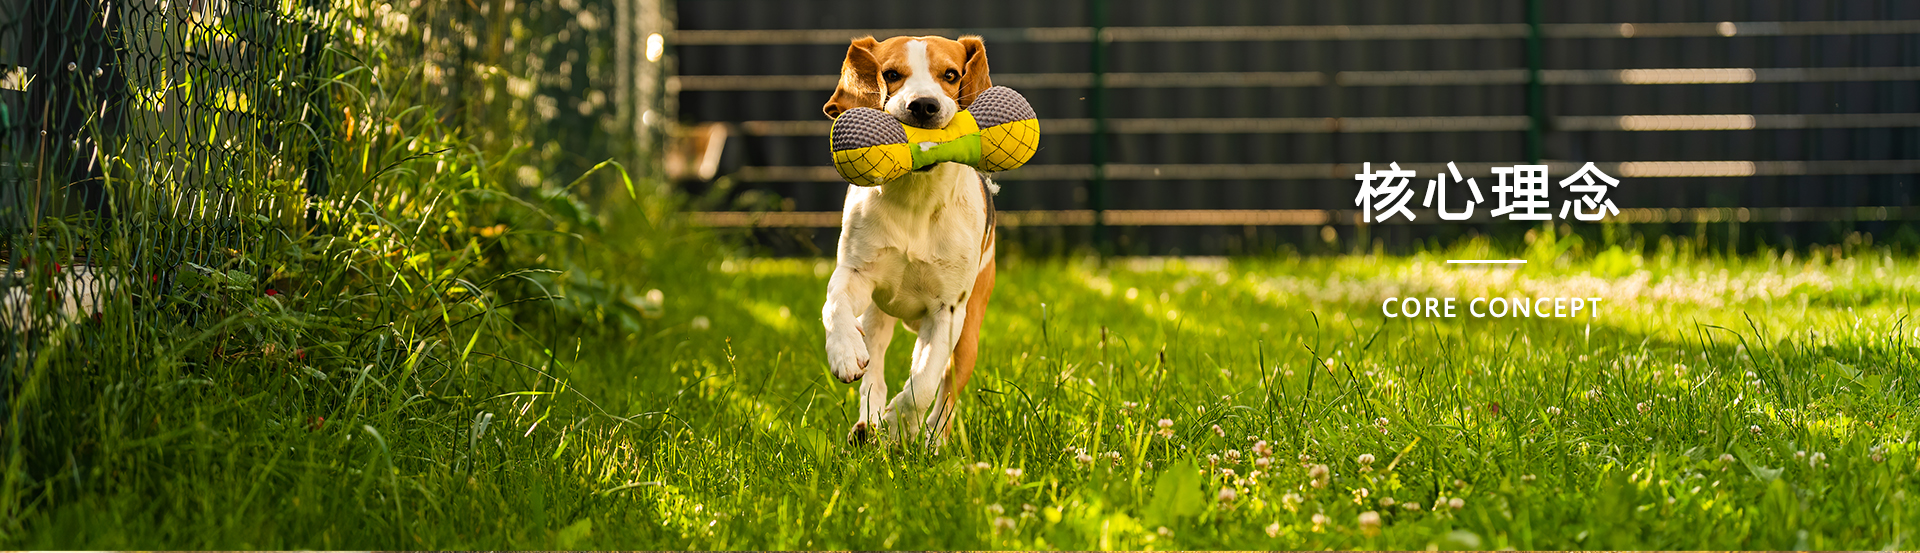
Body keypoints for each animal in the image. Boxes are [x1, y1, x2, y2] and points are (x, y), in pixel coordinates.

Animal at [821, 34, 998, 447]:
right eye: (890, 74)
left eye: (950, 74)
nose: (923, 105)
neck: (916, 198)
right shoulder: (856, 272)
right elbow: (834, 304)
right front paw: (843, 352)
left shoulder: (947, 311)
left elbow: (923, 384)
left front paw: (899, 425)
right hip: (877, 315)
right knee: (874, 369)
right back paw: (866, 423)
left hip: (969, 335)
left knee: (946, 392)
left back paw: (932, 442)